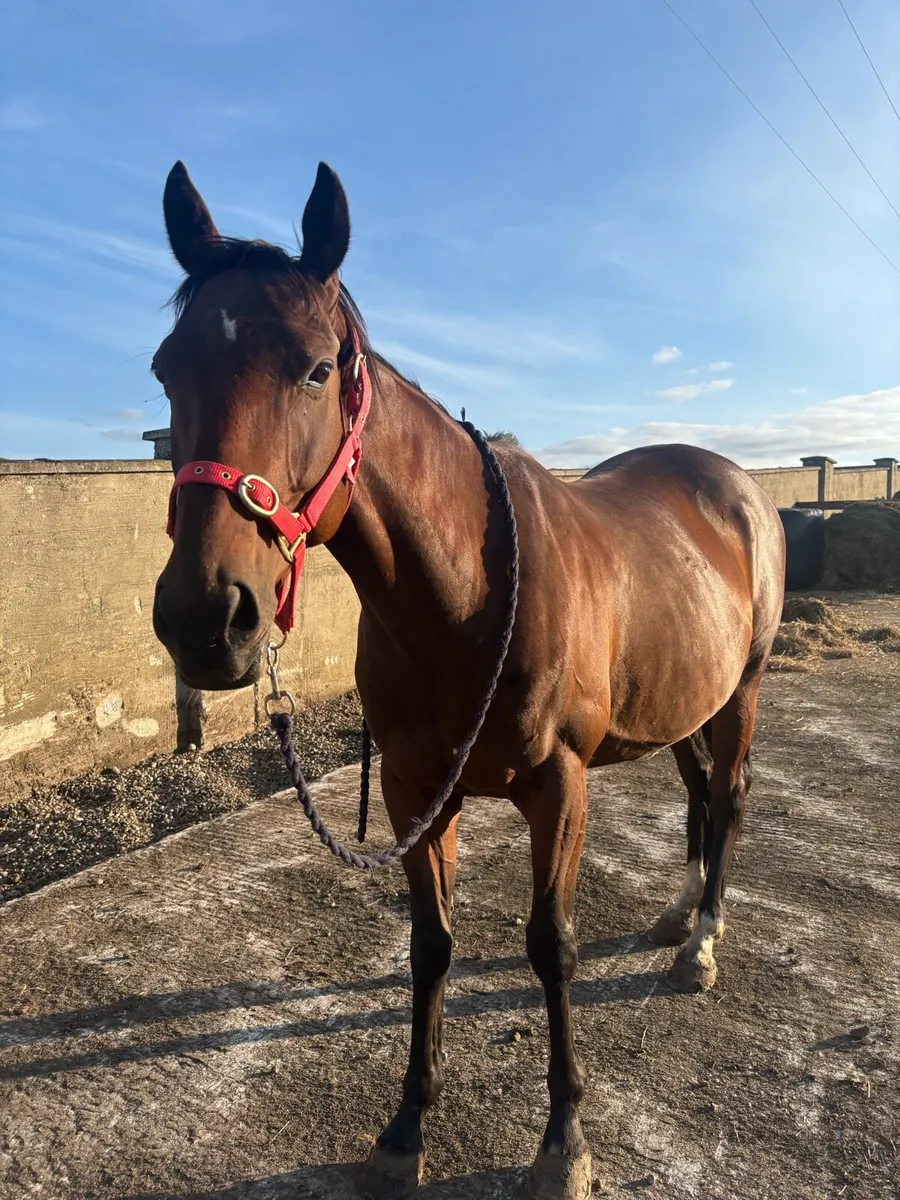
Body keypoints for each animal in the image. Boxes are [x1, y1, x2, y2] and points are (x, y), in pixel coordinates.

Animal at [151, 160, 786, 1200]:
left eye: (316, 368)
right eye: (167, 368)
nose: (206, 617)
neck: (466, 594)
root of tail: (739, 487)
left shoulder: (559, 787)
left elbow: (551, 947)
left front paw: (564, 1142)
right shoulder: (417, 790)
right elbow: (431, 945)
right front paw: (406, 1127)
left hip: (742, 692)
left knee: (727, 797)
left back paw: (702, 942)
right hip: (679, 703)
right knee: (698, 791)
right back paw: (678, 912)